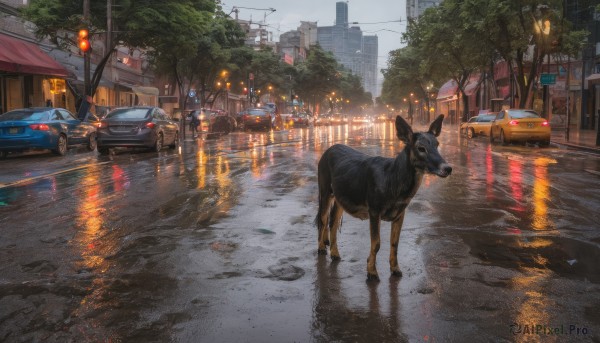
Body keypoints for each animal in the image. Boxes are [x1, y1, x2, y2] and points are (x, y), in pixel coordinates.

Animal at [316, 115, 452, 282]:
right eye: (421, 148)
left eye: (437, 144)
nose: (448, 168)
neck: (393, 183)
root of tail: (327, 151)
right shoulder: (374, 208)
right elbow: (376, 244)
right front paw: (372, 272)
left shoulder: (400, 213)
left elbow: (395, 243)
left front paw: (395, 269)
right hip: (324, 189)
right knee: (322, 219)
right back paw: (321, 248)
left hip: (341, 197)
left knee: (333, 222)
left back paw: (335, 253)